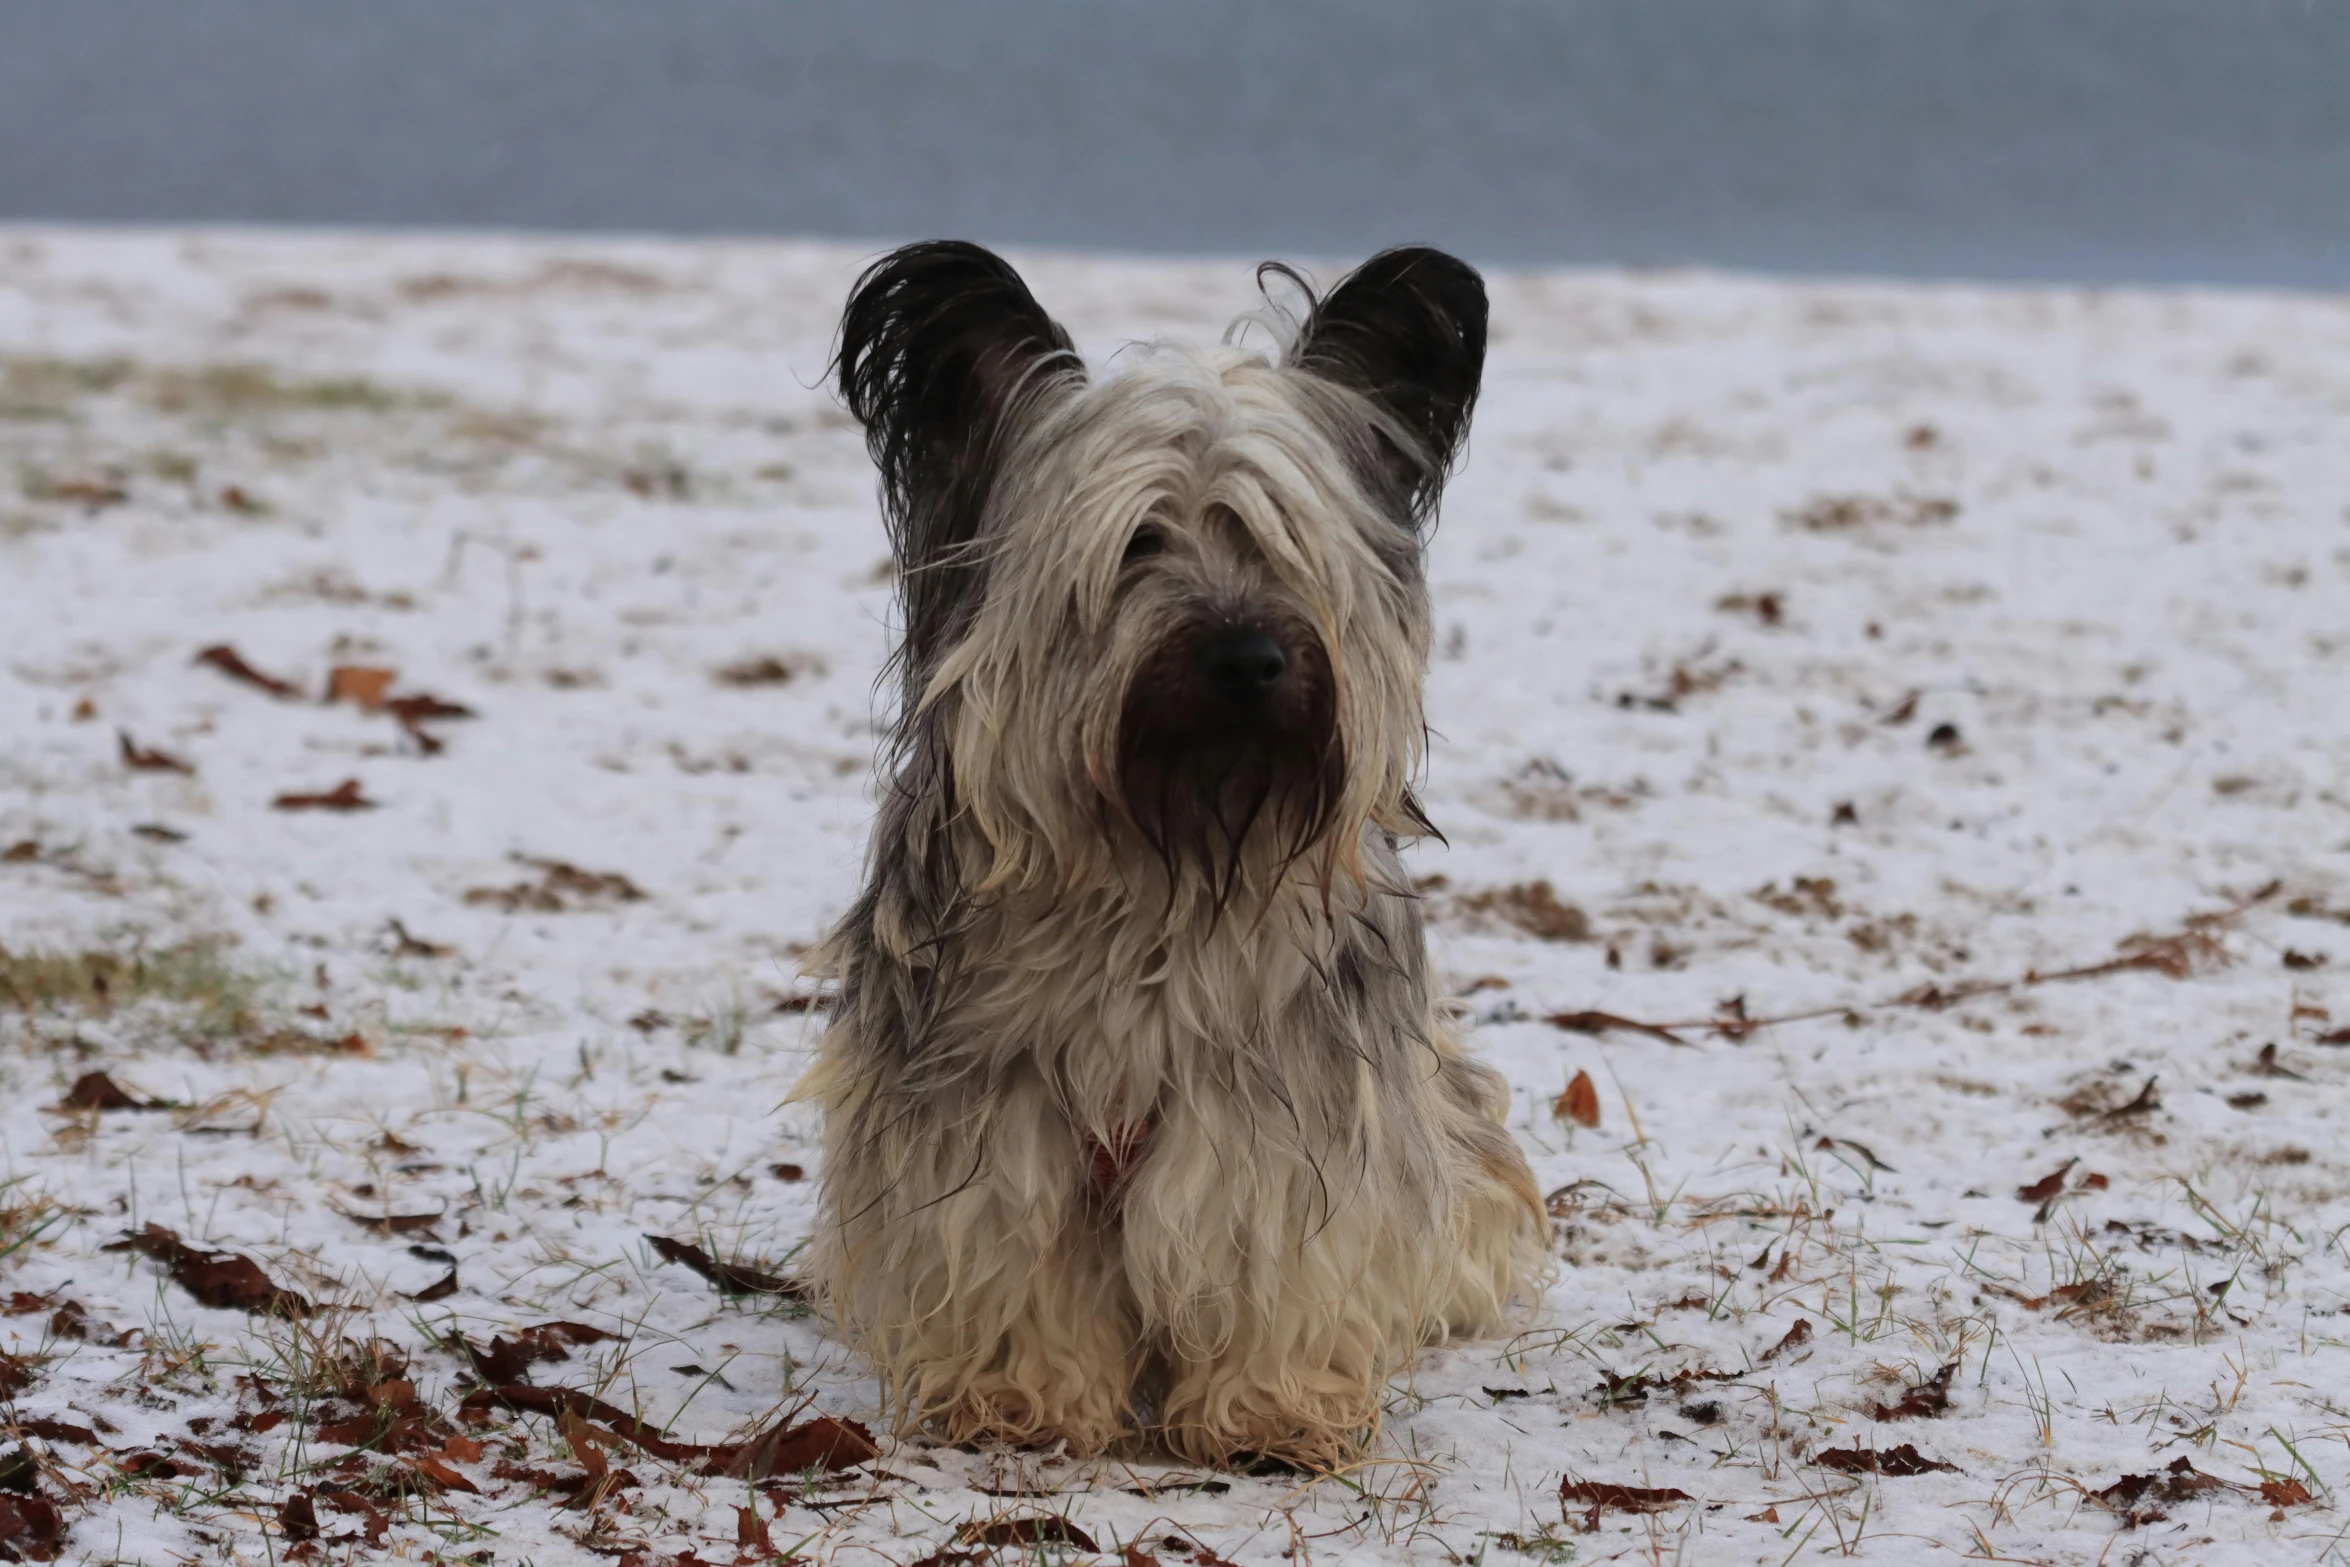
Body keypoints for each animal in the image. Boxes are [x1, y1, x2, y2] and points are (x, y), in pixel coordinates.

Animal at [798, 245, 1550, 1475]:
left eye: (1283, 543)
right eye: (1141, 542)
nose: (1247, 658)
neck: (1163, 869)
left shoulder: (1280, 1112)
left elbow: (1270, 1243)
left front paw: (1268, 1410)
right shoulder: (989, 1120)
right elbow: (1015, 1253)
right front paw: (1020, 1399)